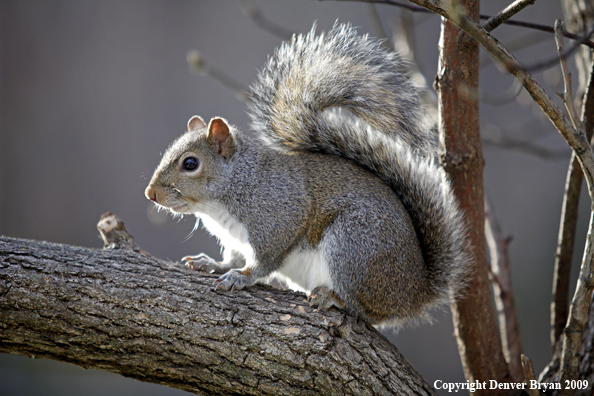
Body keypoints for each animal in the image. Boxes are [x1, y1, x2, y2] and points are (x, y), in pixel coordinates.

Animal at [142, 25, 468, 328]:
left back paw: (333, 298)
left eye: (190, 163)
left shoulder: (278, 217)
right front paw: (211, 264)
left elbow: (264, 260)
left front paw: (243, 277)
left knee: (366, 310)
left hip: (353, 244)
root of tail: (414, 292)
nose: (151, 194)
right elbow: (232, 257)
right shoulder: (235, 240)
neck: (233, 188)